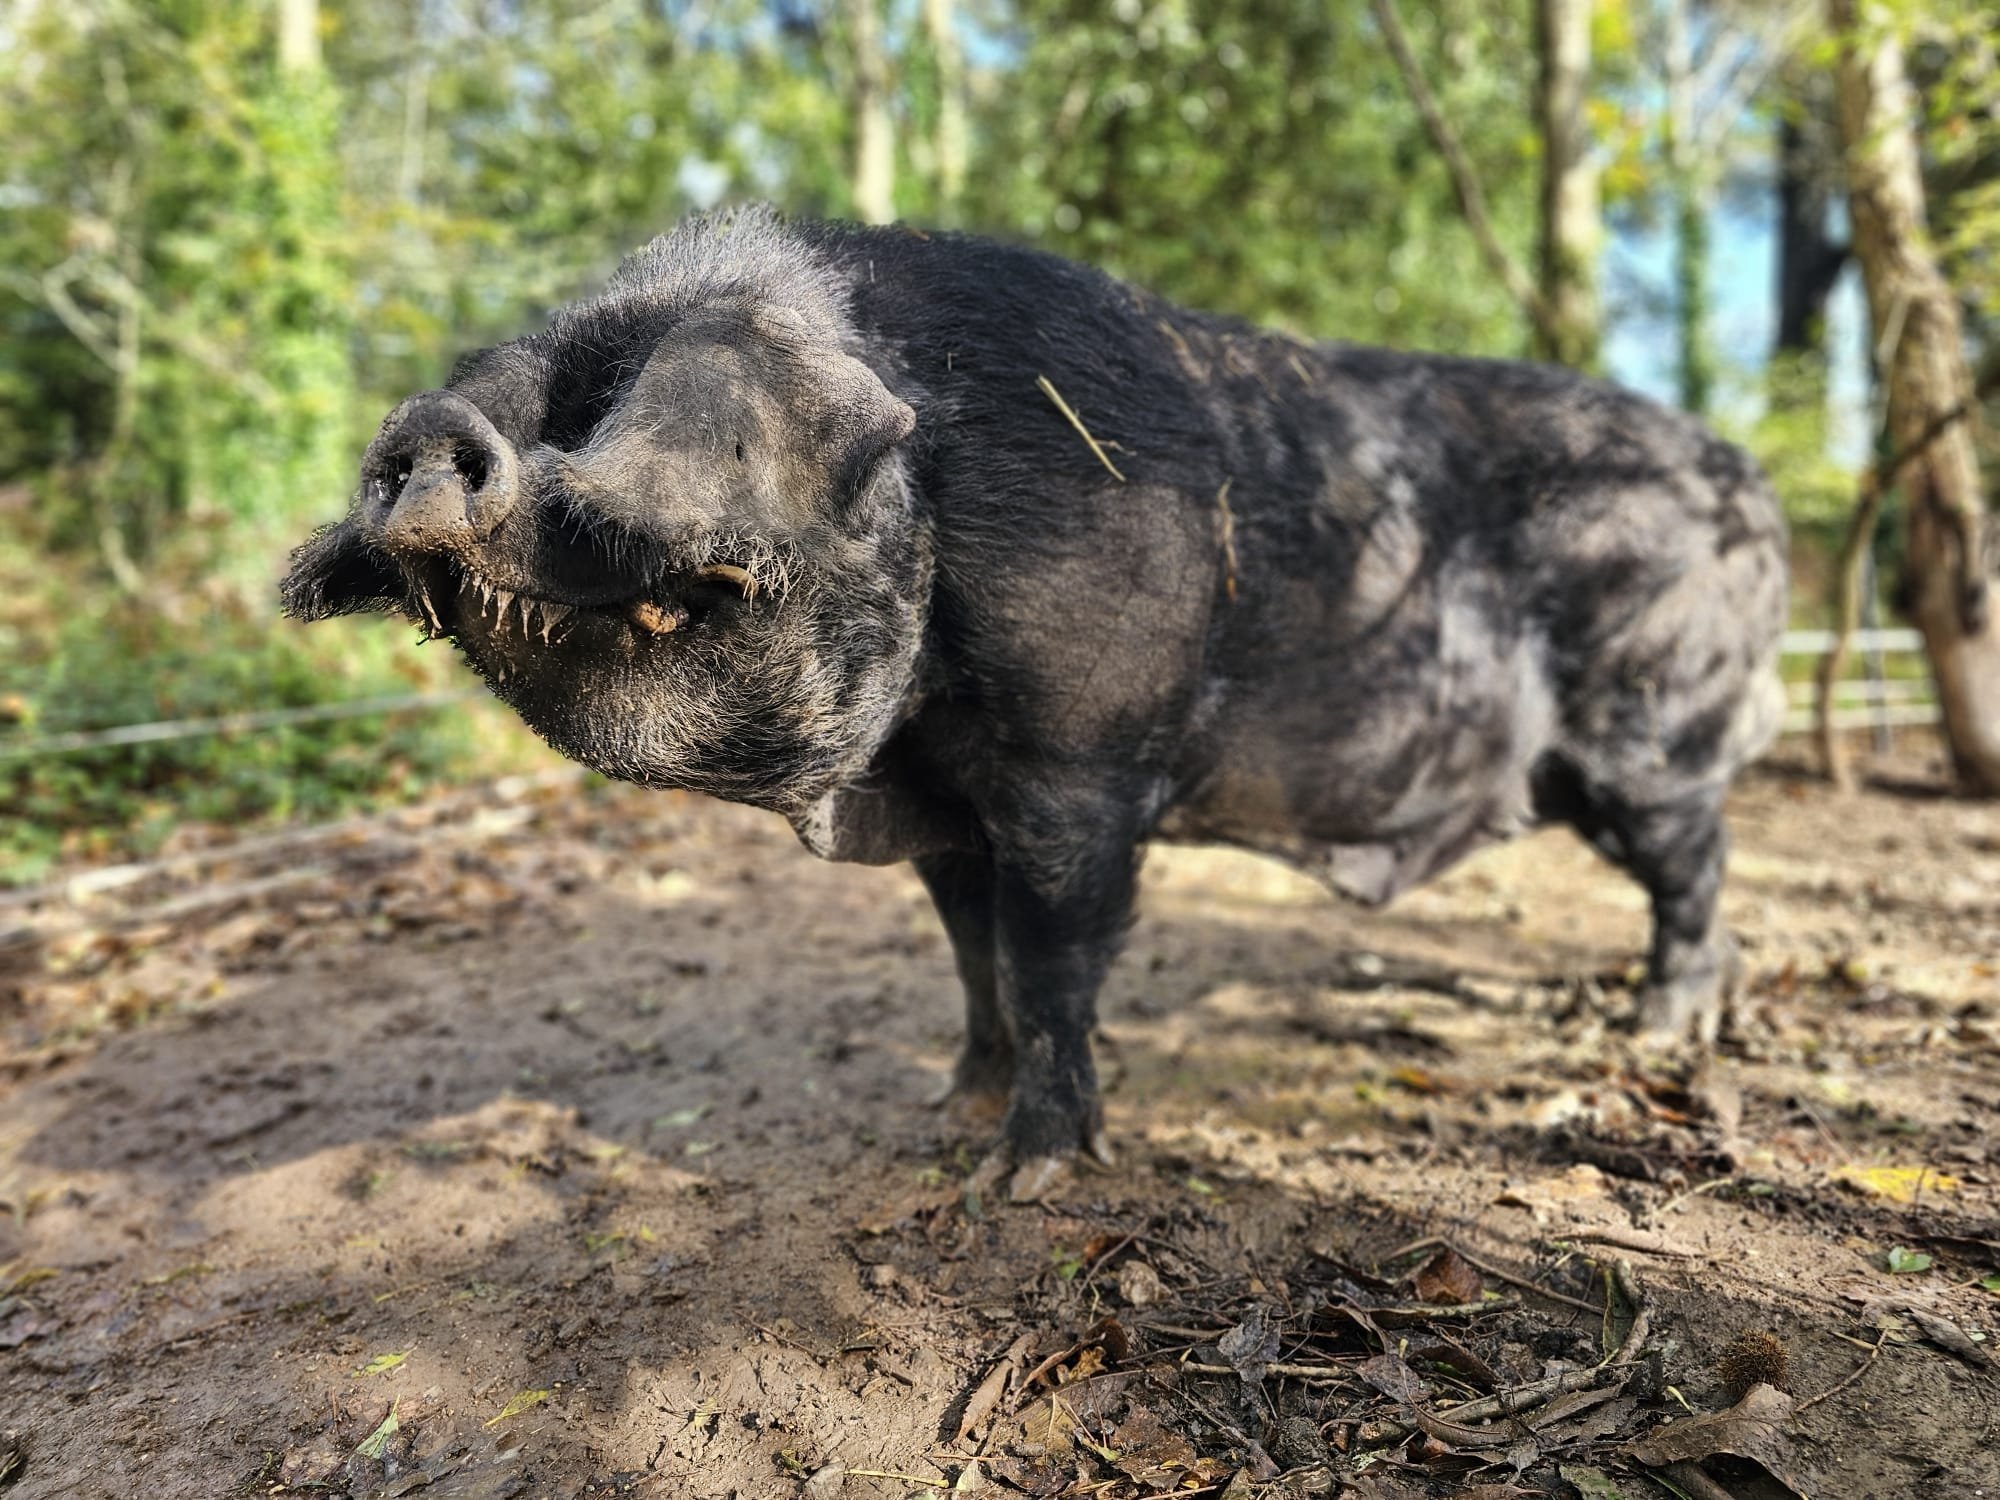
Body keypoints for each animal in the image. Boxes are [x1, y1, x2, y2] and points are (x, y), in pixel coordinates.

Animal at [285, 206, 1788, 1200]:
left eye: (620, 417)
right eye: (561, 400)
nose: (430, 432)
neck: (896, 755)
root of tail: (1753, 490)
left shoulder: (1083, 767)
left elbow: (1054, 959)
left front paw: (1023, 1180)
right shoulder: (946, 806)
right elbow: (975, 958)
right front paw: (951, 1113)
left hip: (1655, 733)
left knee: (1701, 865)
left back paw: (1654, 1031)